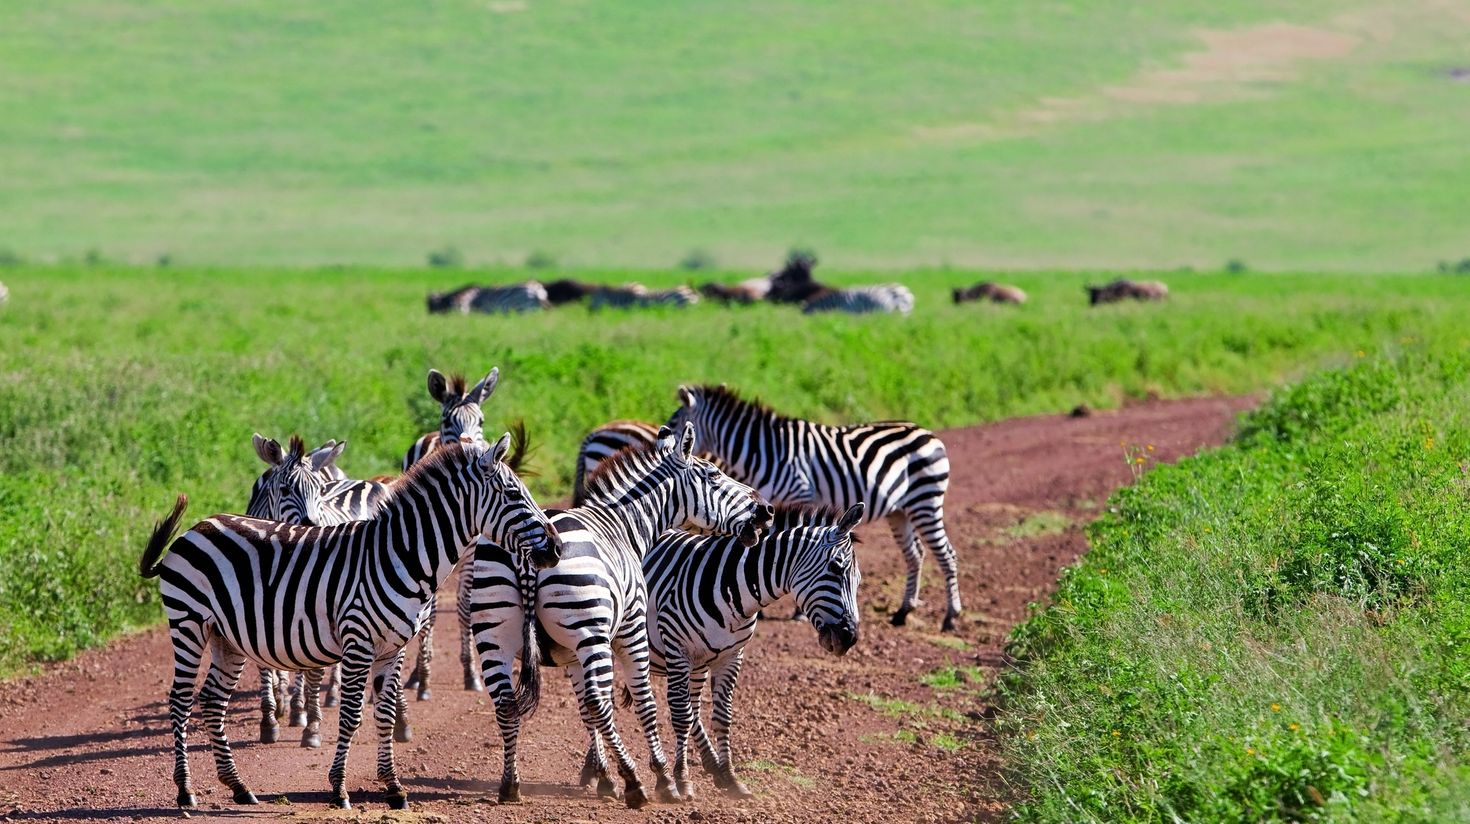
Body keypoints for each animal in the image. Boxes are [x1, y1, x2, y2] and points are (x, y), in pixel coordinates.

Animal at [139, 433, 562, 811]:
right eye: (513, 495)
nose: (557, 549)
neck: (400, 556)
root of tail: (197, 527)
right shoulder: (359, 642)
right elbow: (352, 715)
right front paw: (340, 789)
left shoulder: (394, 647)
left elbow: (386, 713)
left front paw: (393, 788)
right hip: (188, 623)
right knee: (181, 700)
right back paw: (185, 792)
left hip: (226, 638)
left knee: (212, 700)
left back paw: (239, 787)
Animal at [399, 367, 499, 699]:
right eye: (447, 420)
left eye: (481, 420)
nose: (467, 446)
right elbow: (428, 613)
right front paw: (423, 679)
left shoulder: (470, 554)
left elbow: (466, 606)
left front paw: (472, 674)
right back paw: (416, 675)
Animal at [470, 423, 773, 808]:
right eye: (714, 475)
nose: (766, 511)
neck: (624, 525)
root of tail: (529, 551)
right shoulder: (631, 628)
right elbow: (643, 701)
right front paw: (661, 779)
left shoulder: (571, 653)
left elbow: (585, 710)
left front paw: (602, 777)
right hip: (589, 633)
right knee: (601, 705)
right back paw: (635, 783)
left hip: (493, 634)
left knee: (507, 703)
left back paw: (510, 785)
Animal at [582, 503, 864, 800]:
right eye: (835, 568)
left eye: (859, 581)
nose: (849, 638)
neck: (731, 584)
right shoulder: (678, 651)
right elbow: (681, 715)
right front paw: (682, 779)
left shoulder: (730, 656)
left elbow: (721, 716)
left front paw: (729, 777)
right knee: (599, 702)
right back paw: (597, 774)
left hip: (697, 660)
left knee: (689, 706)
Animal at [666, 383, 962, 631]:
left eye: (673, 422)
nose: (662, 442)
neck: (765, 451)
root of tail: (926, 432)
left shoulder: (801, 495)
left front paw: (797, 612)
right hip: (899, 511)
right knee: (915, 554)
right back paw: (903, 612)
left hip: (926, 500)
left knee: (946, 554)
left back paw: (950, 617)